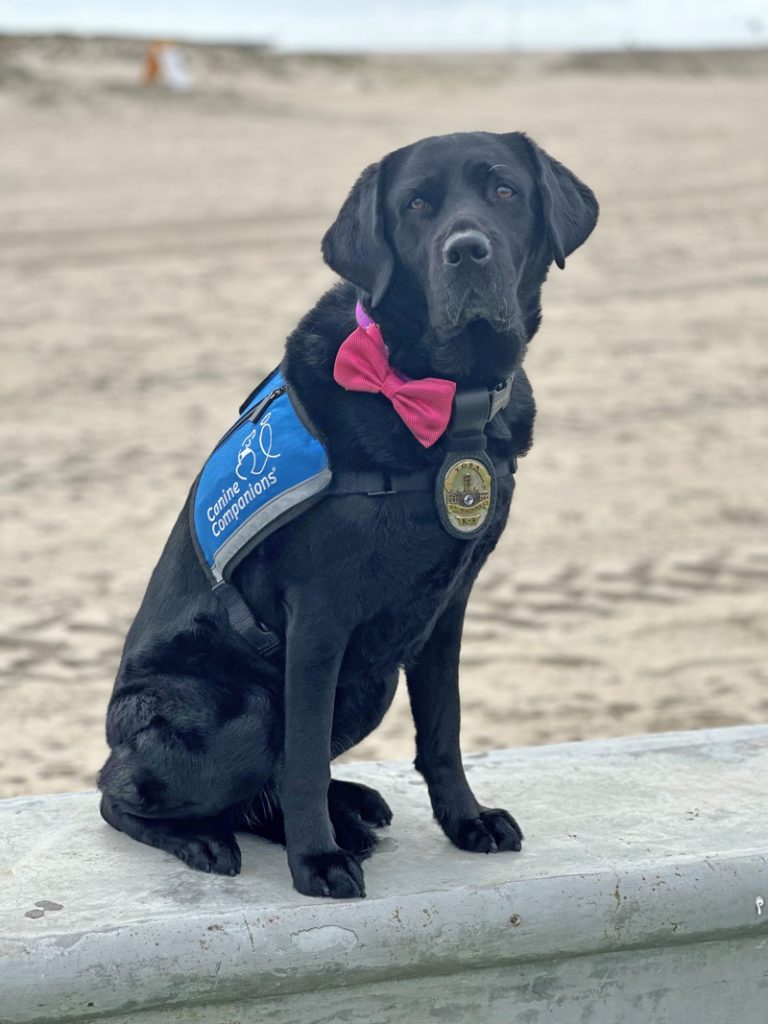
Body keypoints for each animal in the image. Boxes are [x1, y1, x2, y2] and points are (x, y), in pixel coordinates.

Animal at [97, 130, 602, 897]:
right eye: (417, 205)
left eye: (505, 191)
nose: (467, 251)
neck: (442, 398)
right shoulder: (319, 616)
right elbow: (303, 758)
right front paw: (316, 860)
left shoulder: (447, 607)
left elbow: (444, 730)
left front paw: (466, 821)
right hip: (244, 704)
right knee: (120, 792)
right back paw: (208, 839)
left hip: (372, 680)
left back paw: (352, 808)